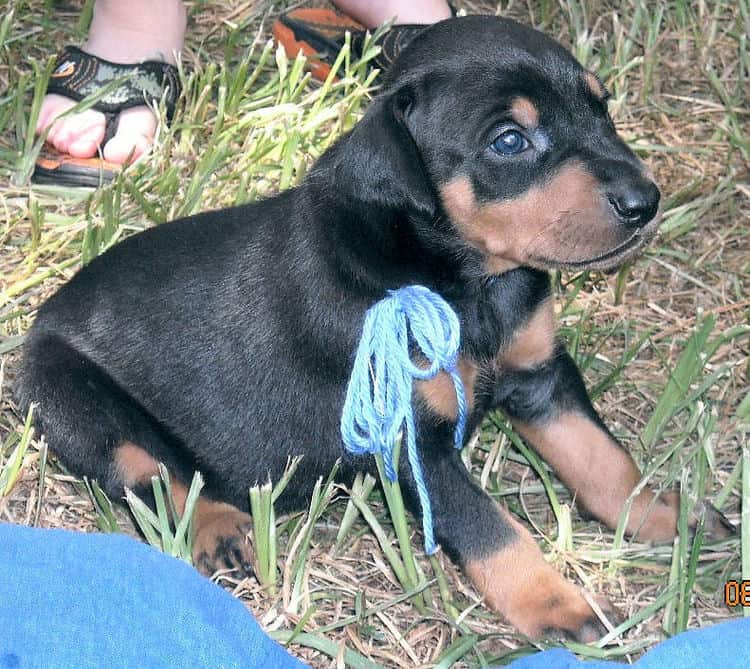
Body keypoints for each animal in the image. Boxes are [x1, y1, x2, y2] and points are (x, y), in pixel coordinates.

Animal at [16, 17, 736, 640]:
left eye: (601, 107)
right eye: (508, 140)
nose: (646, 201)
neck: (465, 281)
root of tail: (43, 318)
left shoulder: (541, 375)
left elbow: (604, 459)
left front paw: (666, 514)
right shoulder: (410, 439)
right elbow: (492, 529)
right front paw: (558, 605)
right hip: (73, 399)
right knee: (153, 474)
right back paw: (221, 529)